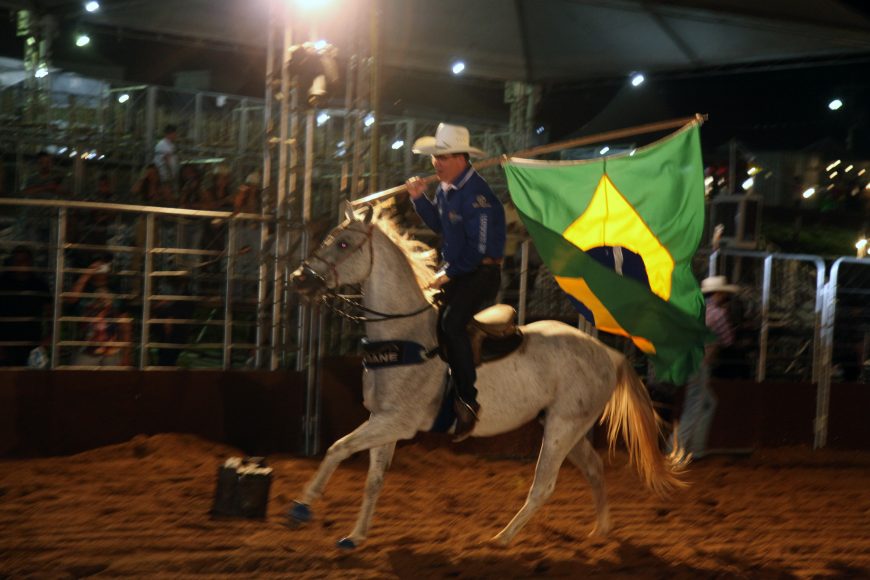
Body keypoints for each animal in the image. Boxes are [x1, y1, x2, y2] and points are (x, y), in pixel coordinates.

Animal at [290, 203, 684, 548]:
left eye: (343, 243)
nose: (299, 279)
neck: (406, 335)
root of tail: (607, 354)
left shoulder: (397, 422)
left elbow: (337, 448)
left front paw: (303, 506)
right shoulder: (383, 421)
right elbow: (373, 479)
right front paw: (355, 536)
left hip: (563, 427)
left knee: (544, 485)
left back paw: (502, 538)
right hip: (566, 427)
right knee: (594, 468)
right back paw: (600, 531)